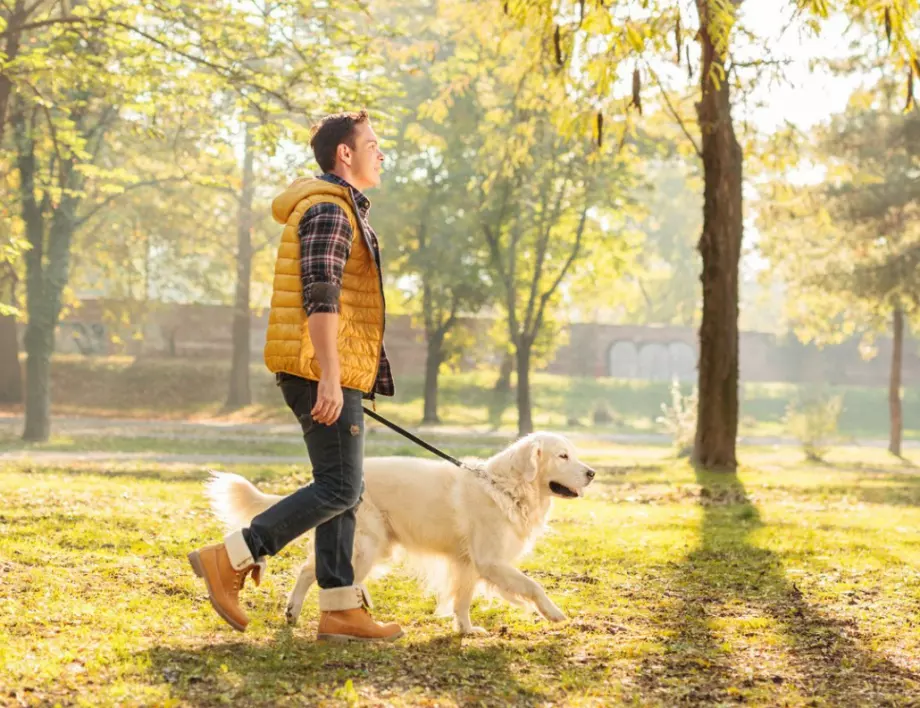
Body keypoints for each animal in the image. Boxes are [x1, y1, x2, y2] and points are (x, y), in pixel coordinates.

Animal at [207, 432, 596, 636]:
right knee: (313, 572)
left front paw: (467, 630)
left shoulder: (468, 563)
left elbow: (463, 599)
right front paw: (553, 612)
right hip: (367, 545)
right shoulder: (490, 560)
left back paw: (296, 612)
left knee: (312, 570)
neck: (505, 486)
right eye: (563, 456)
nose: (591, 473)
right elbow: (533, 585)